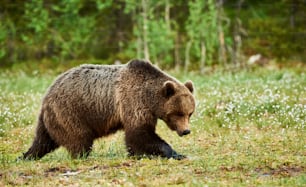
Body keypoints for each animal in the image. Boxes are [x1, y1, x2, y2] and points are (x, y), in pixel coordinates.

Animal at [23, 59, 196, 160]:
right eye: (178, 113)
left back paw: (27, 155)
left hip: (52, 119)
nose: (186, 131)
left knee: (43, 140)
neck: (149, 98)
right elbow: (140, 134)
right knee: (79, 138)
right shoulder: (132, 102)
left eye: (190, 113)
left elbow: (137, 138)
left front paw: (138, 154)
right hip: (71, 112)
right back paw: (83, 156)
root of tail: (47, 95)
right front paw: (175, 153)